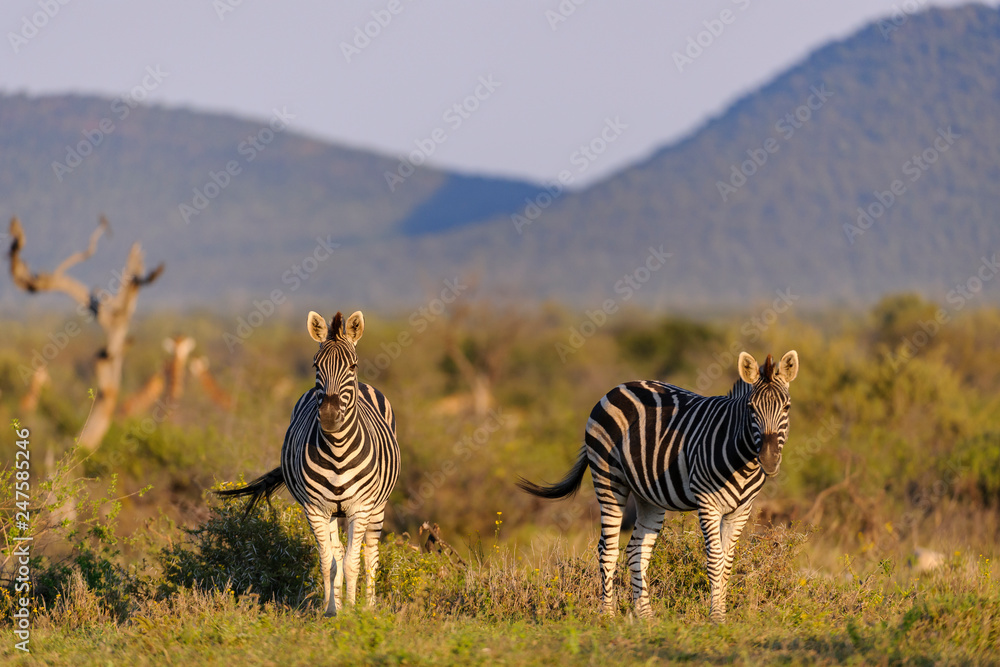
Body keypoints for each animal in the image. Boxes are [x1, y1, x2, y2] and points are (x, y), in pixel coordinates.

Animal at [218, 310, 400, 617]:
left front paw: (352, 614)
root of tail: (366, 385)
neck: (337, 450)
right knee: (337, 552)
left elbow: (353, 563)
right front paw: (331, 612)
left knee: (370, 554)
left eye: (353, 365)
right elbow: (329, 562)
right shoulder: (316, 509)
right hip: (333, 511)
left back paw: (368, 607)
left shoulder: (360, 508)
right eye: (316, 365)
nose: (328, 416)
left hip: (377, 506)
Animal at [518, 350, 798, 622]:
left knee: (636, 550)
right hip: (608, 479)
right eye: (751, 408)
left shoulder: (741, 510)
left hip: (648, 495)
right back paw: (607, 615)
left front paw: (721, 613)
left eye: (787, 407)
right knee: (607, 549)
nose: (769, 460)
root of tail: (619, 387)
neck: (742, 459)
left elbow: (727, 562)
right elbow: (715, 560)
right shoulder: (707, 503)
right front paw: (716, 617)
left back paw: (646, 616)